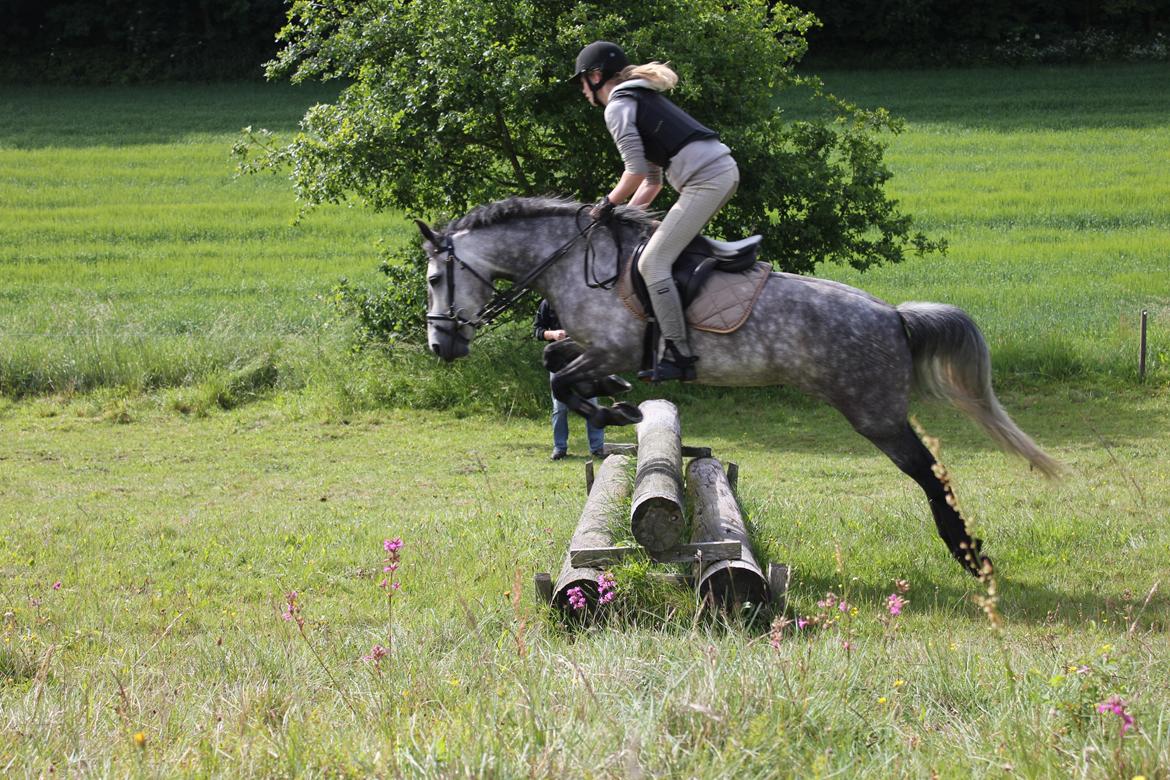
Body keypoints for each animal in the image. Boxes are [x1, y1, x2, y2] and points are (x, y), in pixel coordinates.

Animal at [421, 198, 1062, 577]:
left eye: (433, 278)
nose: (440, 346)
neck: (572, 260)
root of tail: (894, 316)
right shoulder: (590, 344)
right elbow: (556, 359)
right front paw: (617, 397)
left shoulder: (612, 342)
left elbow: (561, 373)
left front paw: (618, 410)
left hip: (873, 413)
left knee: (930, 471)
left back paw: (970, 555)